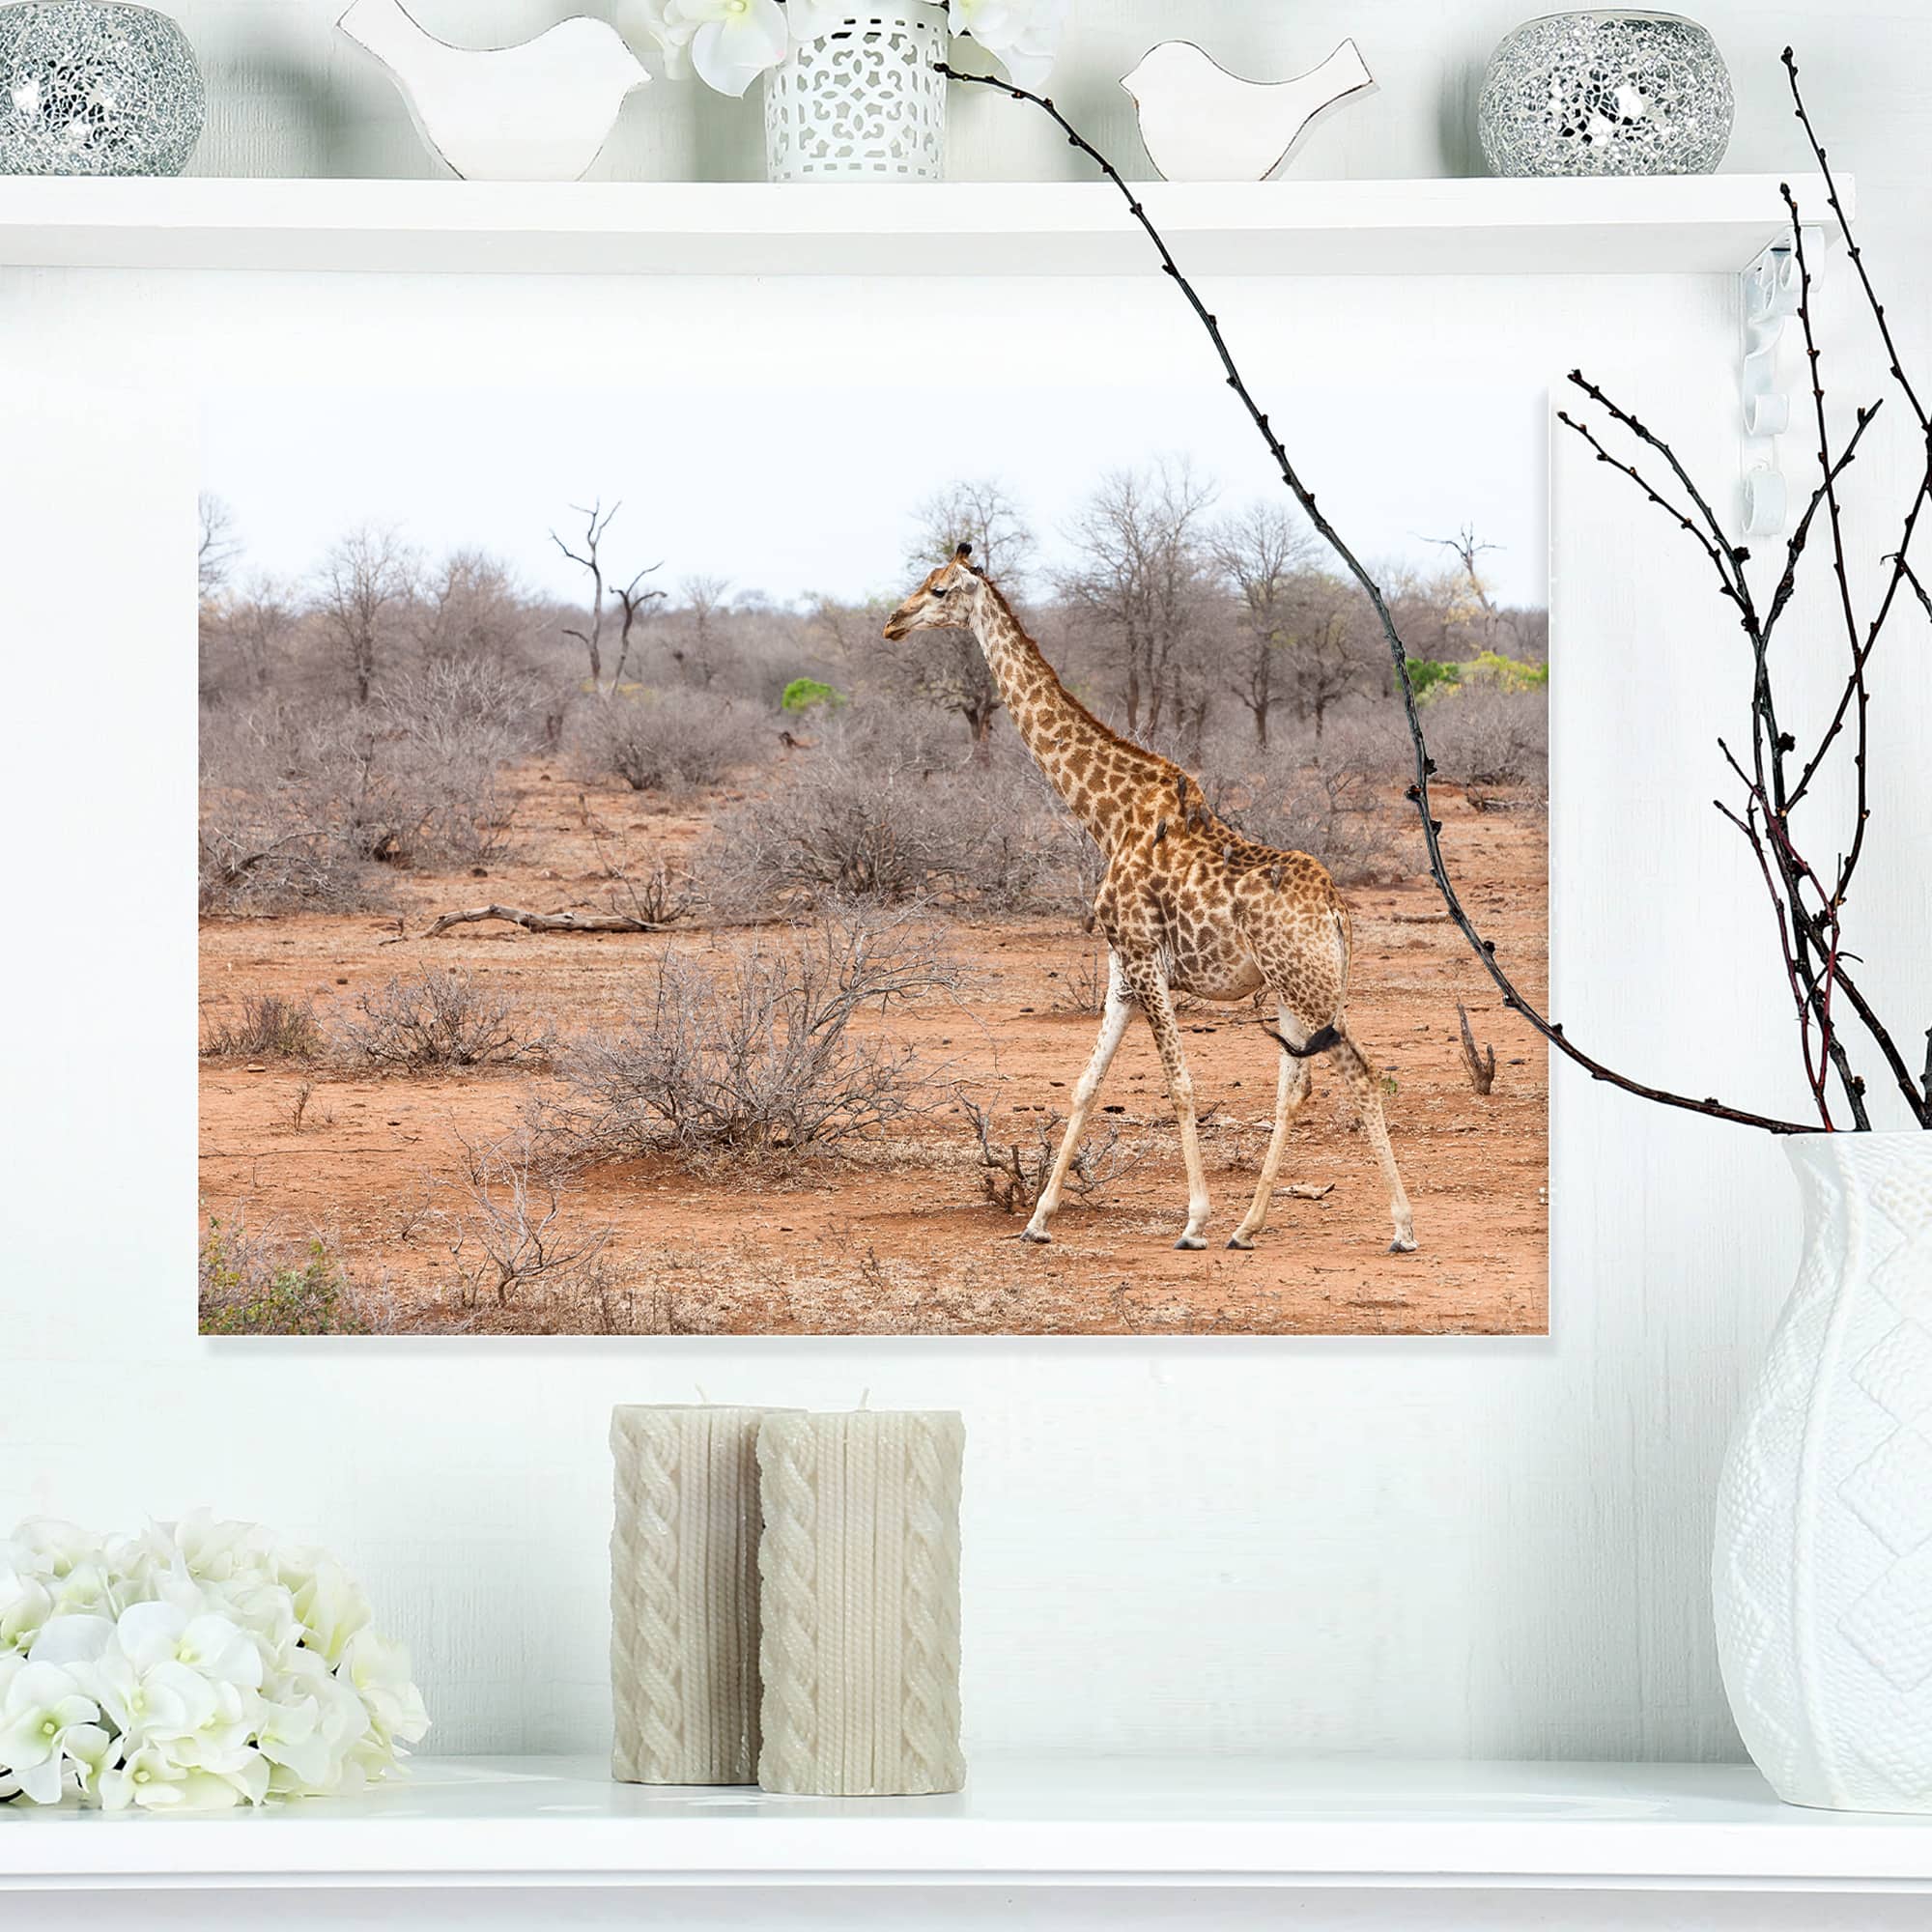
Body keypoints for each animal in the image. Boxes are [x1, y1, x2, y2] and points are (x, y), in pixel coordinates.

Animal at [884, 545, 1417, 1255]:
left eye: (939, 590)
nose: (892, 621)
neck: (1106, 817)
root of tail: (1338, 911)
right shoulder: (1122, 969)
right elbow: (1085, 1085)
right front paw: (1038, 1219)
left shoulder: (1144, 959)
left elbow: (1180, 1085)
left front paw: (1193, 1221)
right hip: (1298, 989)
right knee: (1297, 1085)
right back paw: (1249, 1226)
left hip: (1307, 986)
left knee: (1360, 1074)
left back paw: (1401, 1228)